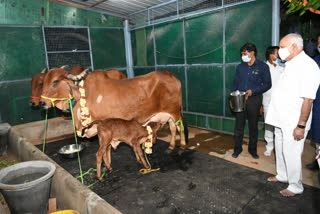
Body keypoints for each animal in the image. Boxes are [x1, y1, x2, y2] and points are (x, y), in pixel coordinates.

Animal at [38, 68, 186, 152]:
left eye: (55, 81)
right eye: (43, 82)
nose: (41, 103)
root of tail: (172, 76)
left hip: (175, 111)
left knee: (180, 127)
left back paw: (183, 145)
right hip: (168, 114)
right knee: (173, 128)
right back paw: (171, 146)